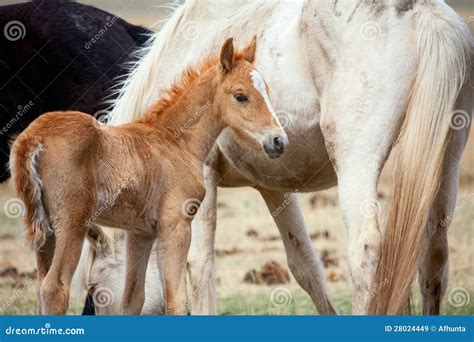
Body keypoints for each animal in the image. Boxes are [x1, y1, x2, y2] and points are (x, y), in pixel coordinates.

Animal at [10, 38, 286, 316]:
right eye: (241, 96)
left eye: (267, 91)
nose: (278, 141)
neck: (176, 141)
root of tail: (33, 137)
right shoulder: (176, 225)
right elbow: (176, 300)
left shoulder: (140, 233)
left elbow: (132, 300)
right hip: (72, 222)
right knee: (54, 288)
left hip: (47, 231)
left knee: (40, 286)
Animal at [105, 0, 472, 316]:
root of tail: (423, 14)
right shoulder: (273, 186)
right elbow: (305, 264)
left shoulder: (202, 175)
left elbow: (200, 265)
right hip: (446, 163)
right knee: (434, 254)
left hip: (357, 162)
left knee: (366, 250)